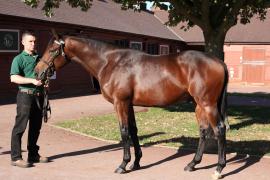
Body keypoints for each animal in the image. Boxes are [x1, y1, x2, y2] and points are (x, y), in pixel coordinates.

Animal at [33, 31, 228, 179]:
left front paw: (123, 164)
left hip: (207, 104)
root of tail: (219, 62)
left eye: (52, 50)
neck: (110, 62)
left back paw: (218, 168)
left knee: (219, 130)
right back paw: (192, 164)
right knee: (204, 131)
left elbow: (124, 131)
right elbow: (133, 131)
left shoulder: (120, 103)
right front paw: (136, 162)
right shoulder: (130, 104)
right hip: (199, 105)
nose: (37, 72)